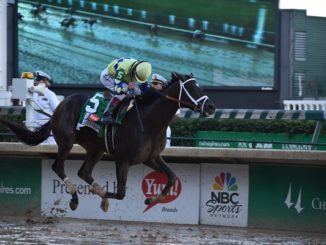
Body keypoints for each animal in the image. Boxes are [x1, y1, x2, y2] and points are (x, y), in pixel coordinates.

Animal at [0, 72, 215, 212]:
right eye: (191, 88)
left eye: (200, 86)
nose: (211, 107)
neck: (147, 121)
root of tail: (60, 106)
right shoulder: (123, 159)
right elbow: (120, 193)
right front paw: (103, 197)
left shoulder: (151, 158)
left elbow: (171, 178)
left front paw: (151, 200)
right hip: (66, 141)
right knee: (58, 167)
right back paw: (75, 197)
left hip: (96, 149)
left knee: (84, 172)